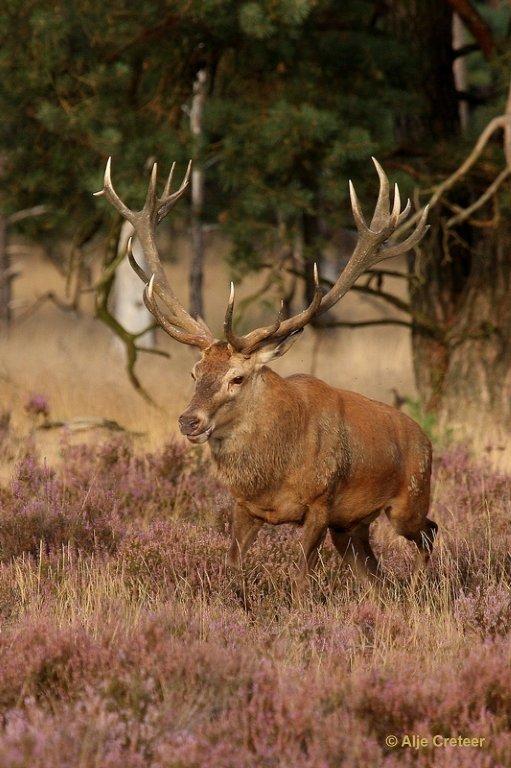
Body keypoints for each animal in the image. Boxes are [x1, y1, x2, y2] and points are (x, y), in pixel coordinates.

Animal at [97, 156, 440, 588]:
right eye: (195, 372)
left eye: (237, 377)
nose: (189, 421)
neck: (274, 475)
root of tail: (424, 438)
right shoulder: (244, 506)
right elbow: (232, 564)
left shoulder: (320, 503)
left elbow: (302, 575)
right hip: (352, 525)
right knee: (372, 568)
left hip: (409, 499)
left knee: (429, 531)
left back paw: (427, 585)